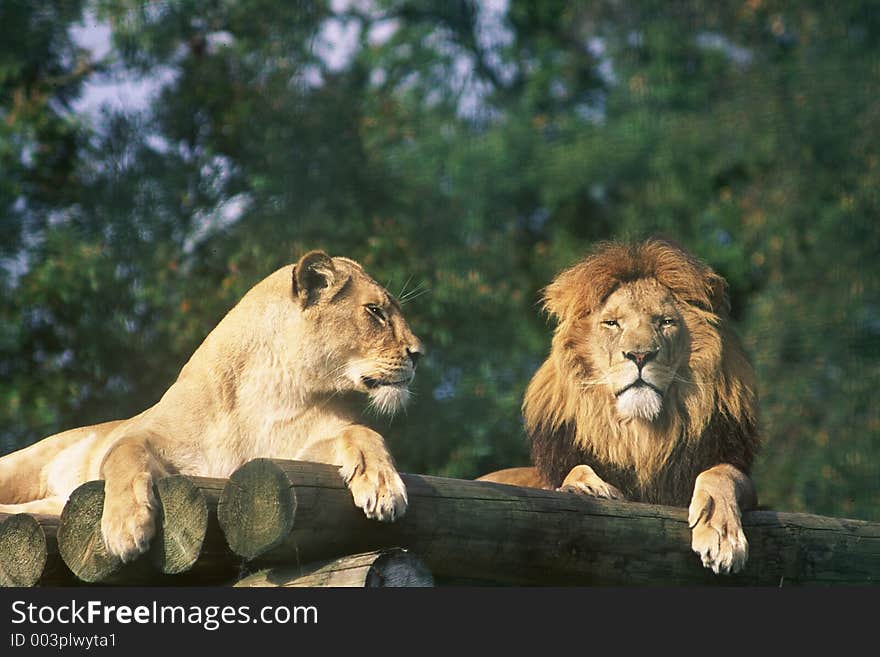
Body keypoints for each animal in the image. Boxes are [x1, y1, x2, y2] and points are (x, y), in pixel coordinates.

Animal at [0, 250, 422, 560]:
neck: (272, 388)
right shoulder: (146, 435)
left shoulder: (298, 453)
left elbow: (362, 433)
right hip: (20, 464)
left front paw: (382, 485)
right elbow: (124, 455)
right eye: (375, 312)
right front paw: (126, 526)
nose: (419, 354)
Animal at [478, 238, 760, 572]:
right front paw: (589, 487)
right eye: (612, 323)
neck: (639, 435)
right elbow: (573, 471)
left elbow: (721, 474)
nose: (639, 355)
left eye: (665, 322)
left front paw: (722, 536)